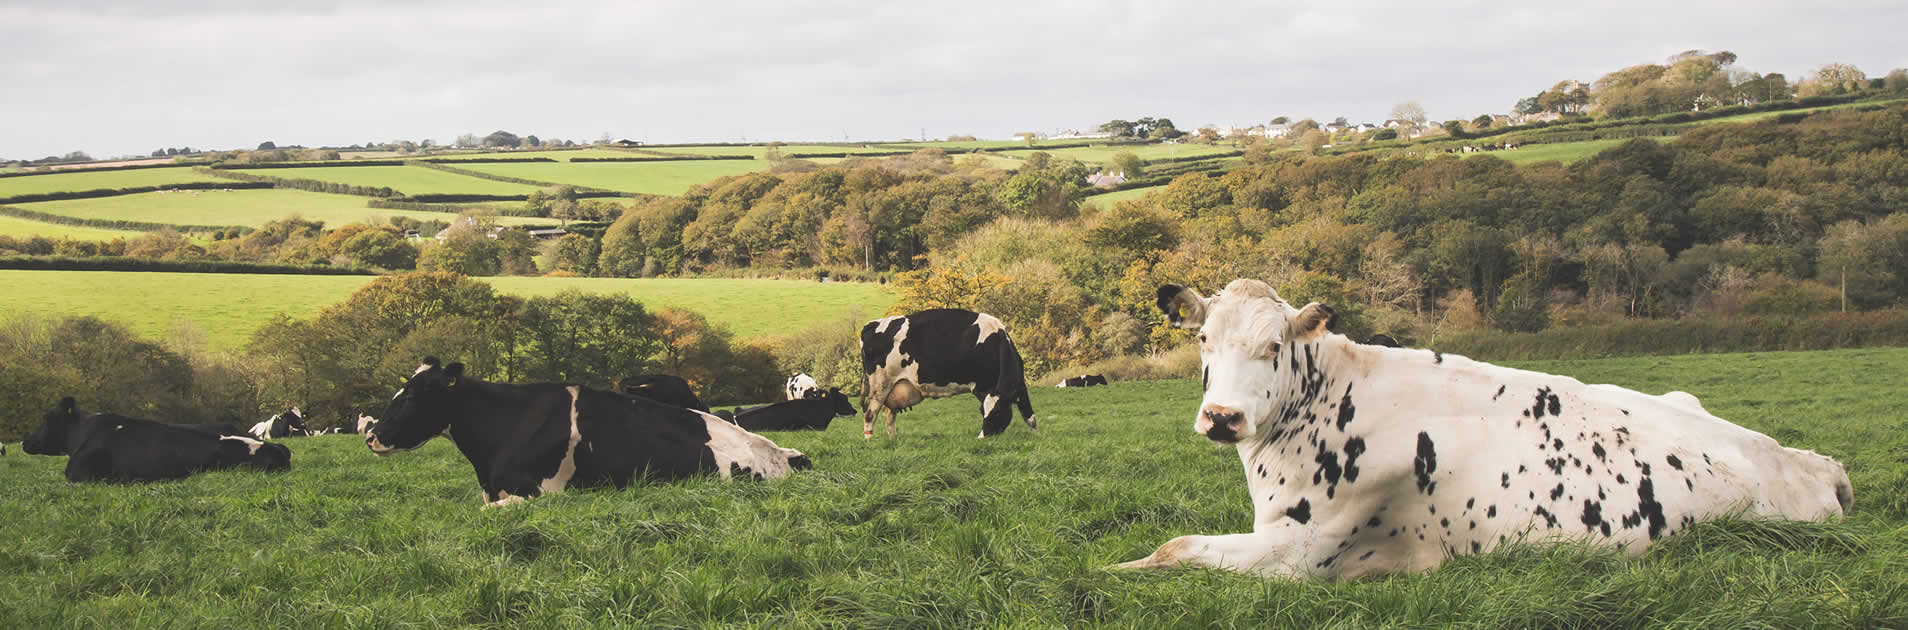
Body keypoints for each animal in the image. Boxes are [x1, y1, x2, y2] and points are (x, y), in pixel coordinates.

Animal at [858, 309, 1037, 437]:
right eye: (983, 412)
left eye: (998, 412)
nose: (982, 438)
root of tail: (872, 324)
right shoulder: (982, 387)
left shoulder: (1020, 387)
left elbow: (1031, 417)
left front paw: (1037, 437)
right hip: (880, 385)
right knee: (870, 414)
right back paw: (869, 442)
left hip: (893, 388)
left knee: (889, 416)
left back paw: (893, 441)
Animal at [1114, 280, 1846, 580]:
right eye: (1203, 339)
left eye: (1274, 346)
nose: (1222, 417)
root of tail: (1814, 462)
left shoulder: (1302, 550)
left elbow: (1176, 547)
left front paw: (1117, 568)